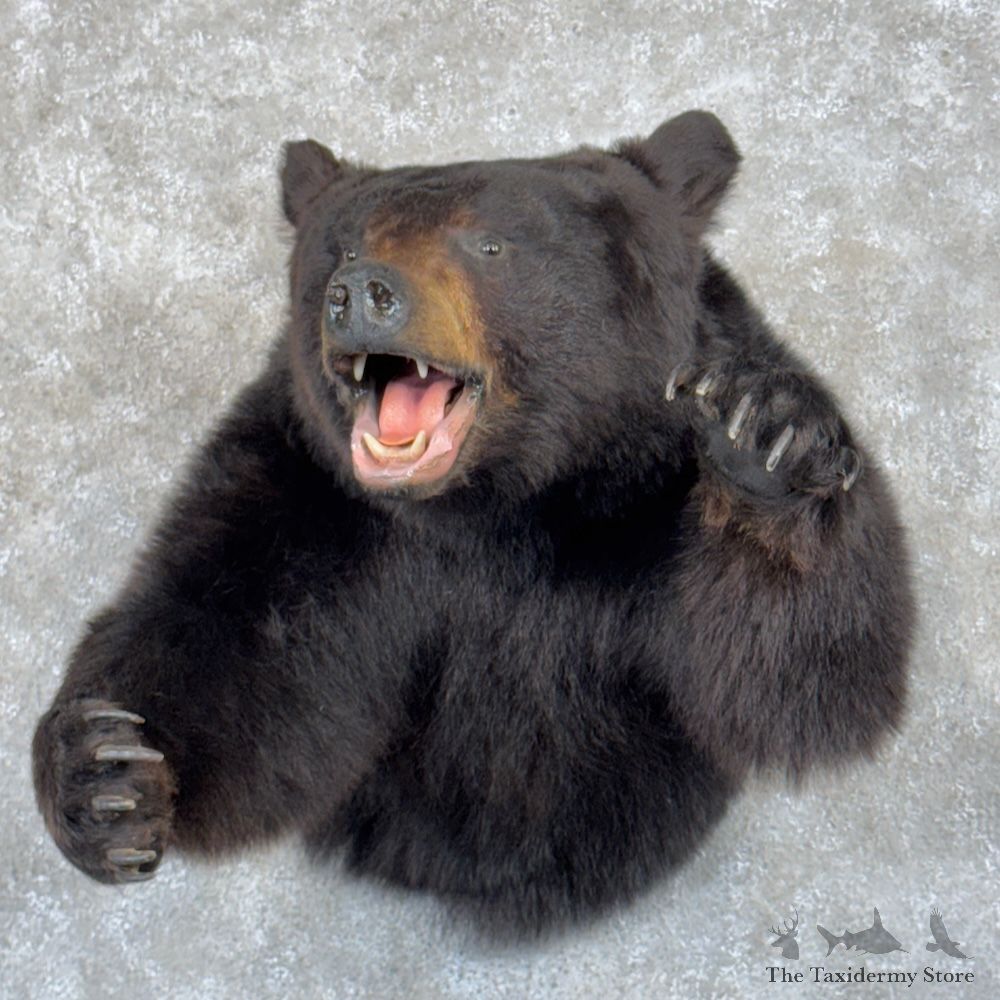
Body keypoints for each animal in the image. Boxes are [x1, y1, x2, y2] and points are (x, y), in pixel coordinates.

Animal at [32, 110, 913, 937]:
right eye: (341, 248)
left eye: (490, 244)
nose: (363, 293)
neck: (505, 508)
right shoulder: (311, 497)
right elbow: (233, 640)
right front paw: (107, 775)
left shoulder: (646, 512)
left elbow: (799, 676)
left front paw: (768, 437)